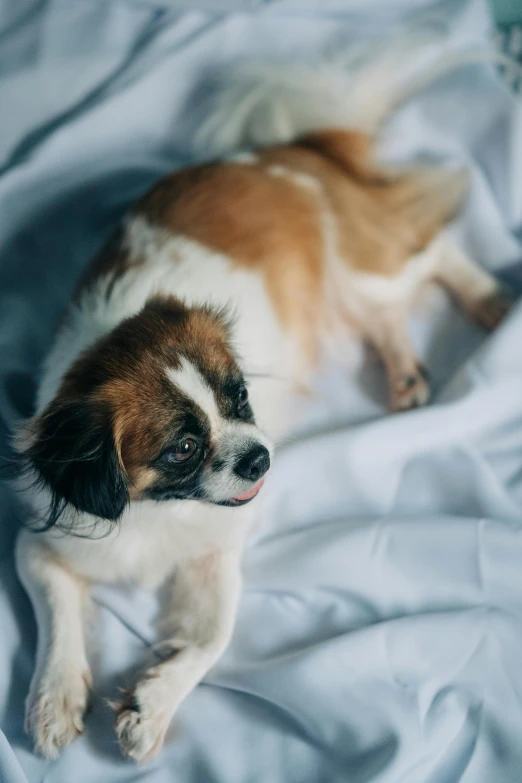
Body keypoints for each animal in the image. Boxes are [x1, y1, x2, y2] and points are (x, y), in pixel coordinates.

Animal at [14, 33, 510, 764]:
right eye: (183, 448)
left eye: (241, 395)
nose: (259, 459)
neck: (159, 513)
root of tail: (289, 151)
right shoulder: (46, 543)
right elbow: (56, 612)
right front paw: (54, 699)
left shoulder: (217, 551)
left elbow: (213, 637)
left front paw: (153, 705)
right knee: (387, 313)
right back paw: (403, 372)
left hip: (364, 268)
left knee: (427, 251)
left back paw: (487, 298)